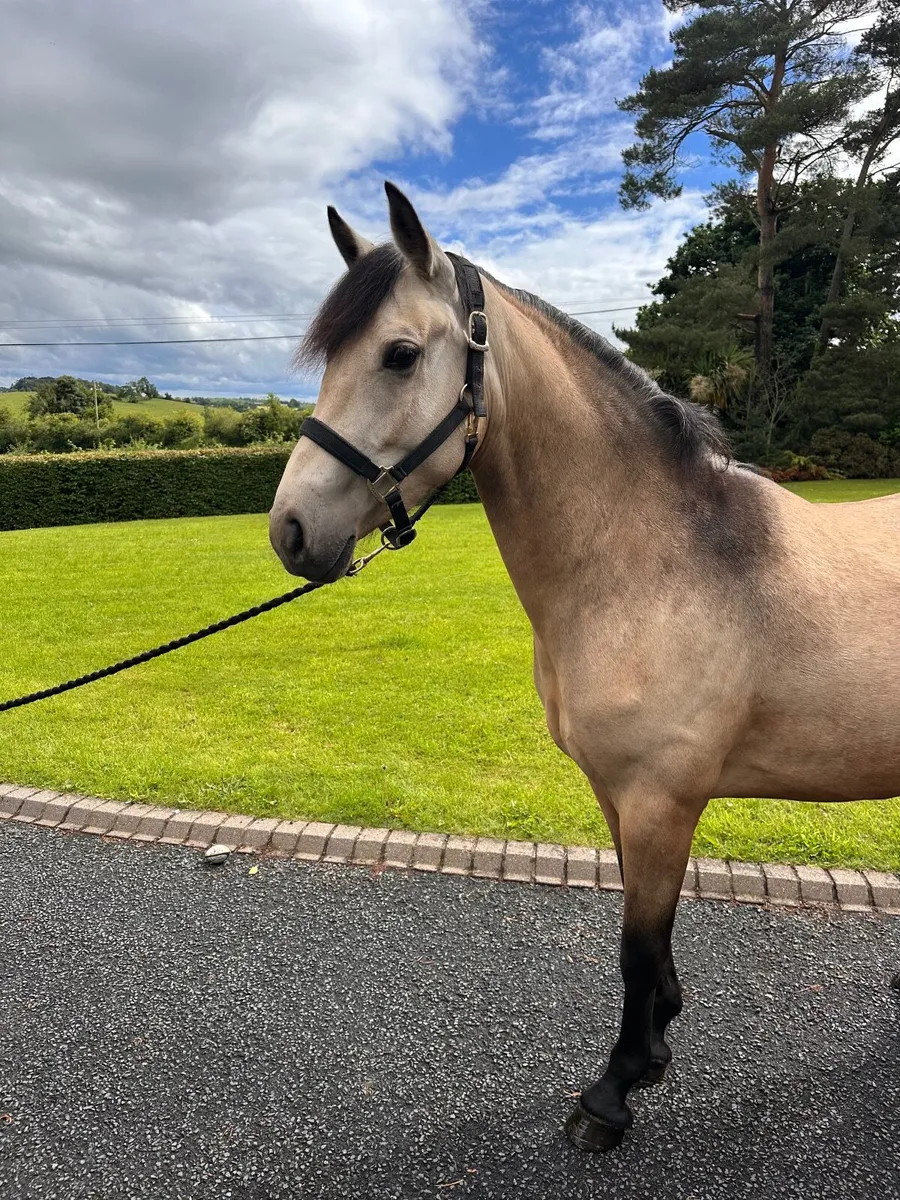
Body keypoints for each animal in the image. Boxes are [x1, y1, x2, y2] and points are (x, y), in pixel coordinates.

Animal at [269, 181, 900, 1153]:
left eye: (400, 355)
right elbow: (648, 940)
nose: (291, 531)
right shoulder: (619, 796)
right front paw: (659, 1040)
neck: (652, 561)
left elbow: (636, 948)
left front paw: (614, 1091)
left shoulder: (660, 800)